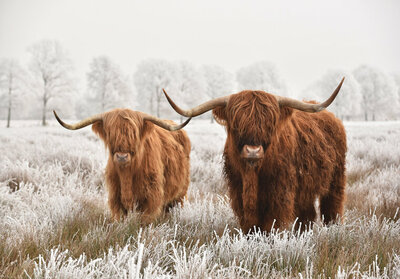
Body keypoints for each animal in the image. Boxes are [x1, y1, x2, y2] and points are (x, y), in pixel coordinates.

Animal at [54, 109, 191, 225]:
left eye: (134, 134)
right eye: (110, 133)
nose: (122, 156)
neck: (127, 174)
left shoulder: (151, 198)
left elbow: (145, 222)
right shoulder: (115, 198)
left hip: (181, 193)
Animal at [164, 77, 346, 233]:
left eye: (270, 124)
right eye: (236, 124)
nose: (252, 151)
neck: (252, 174)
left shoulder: (279, 195)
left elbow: (270, 225)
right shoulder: (238, 192)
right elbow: (250, 226)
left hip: (336, 180)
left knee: (332, 208)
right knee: (307, 215)